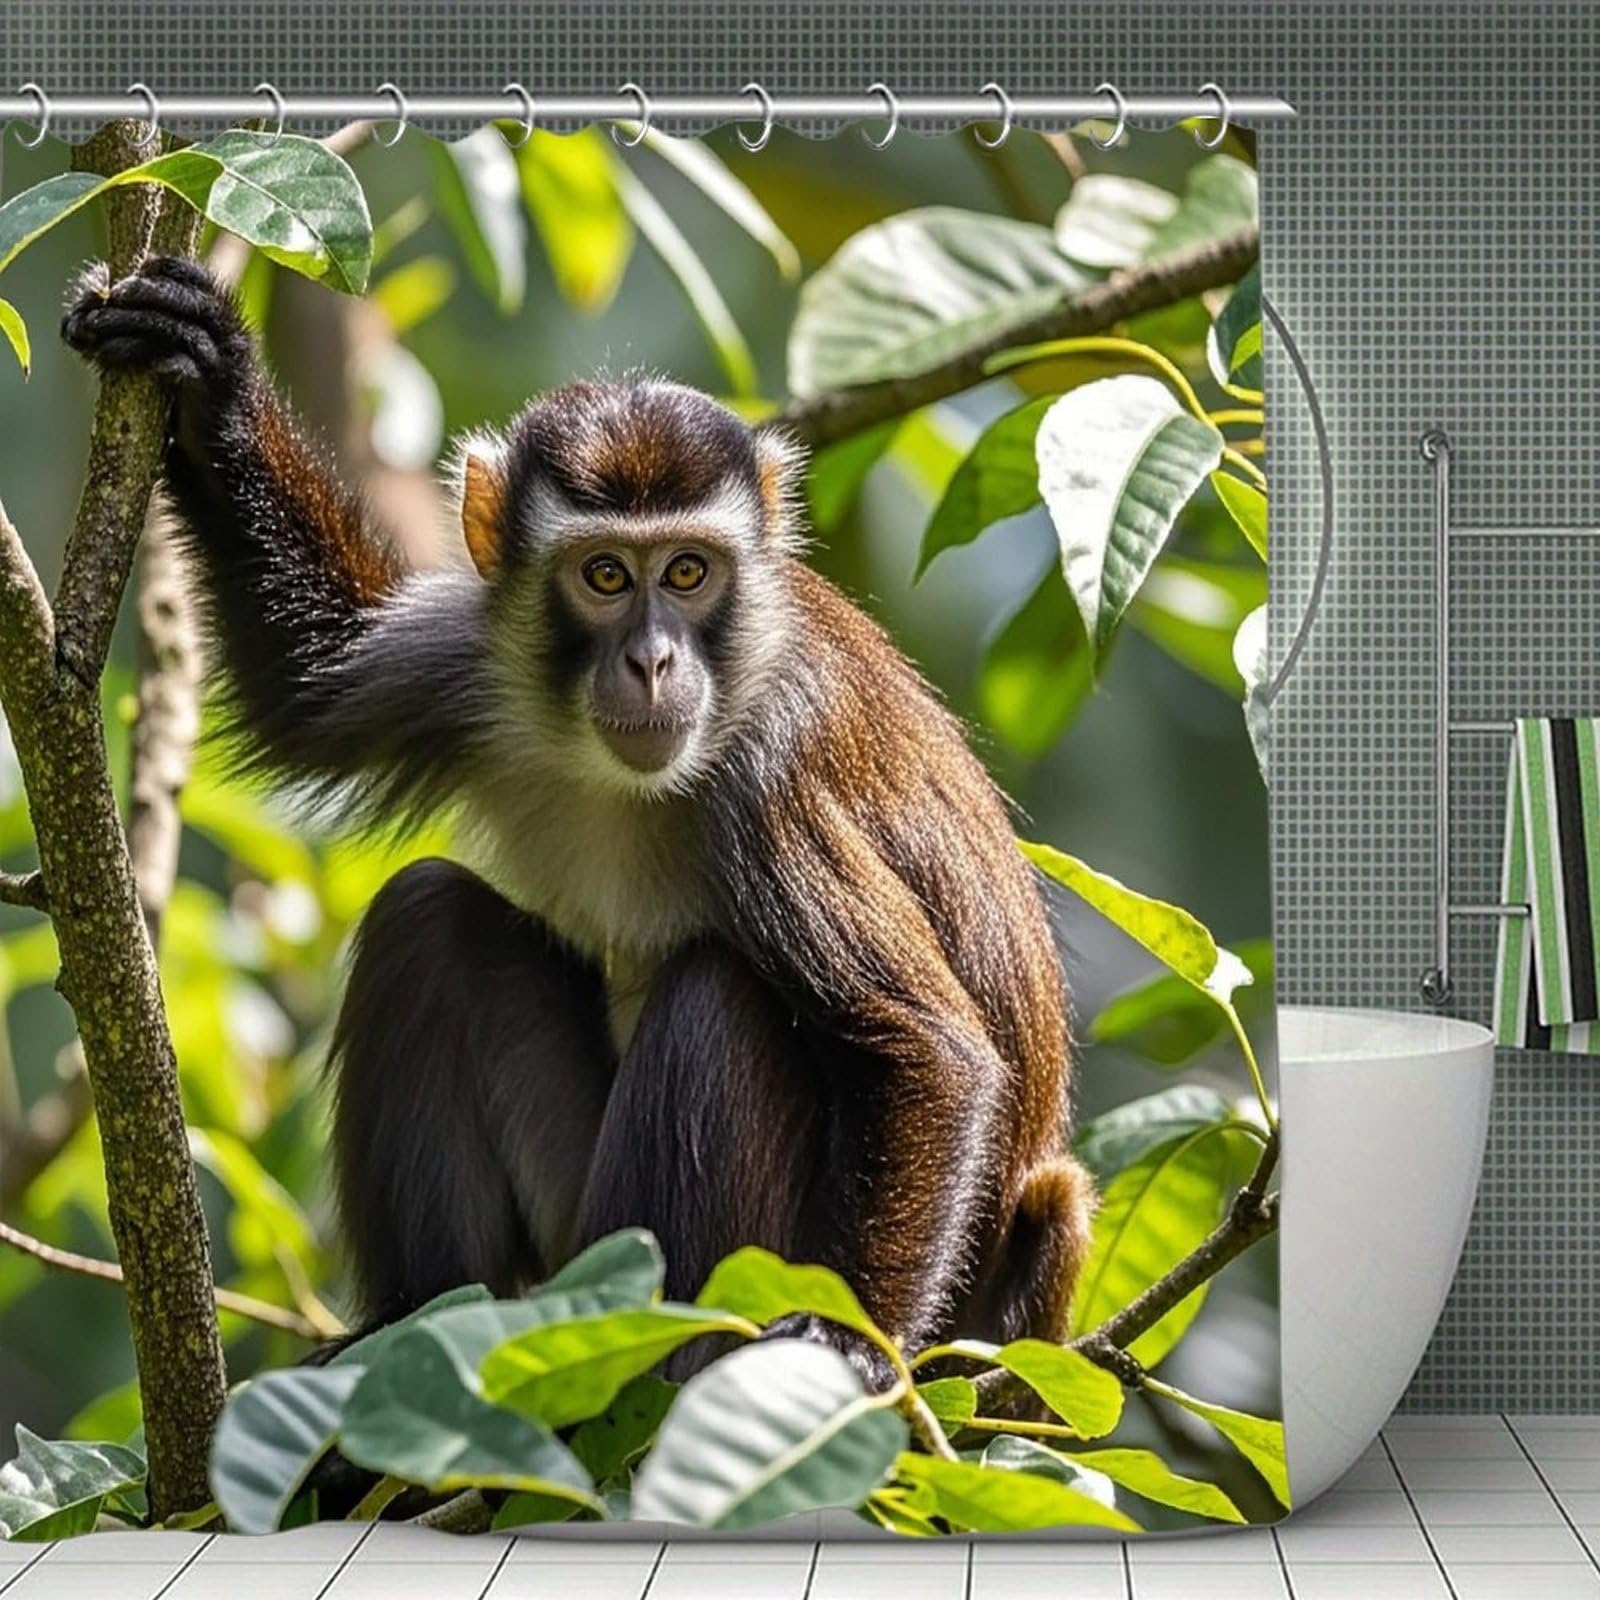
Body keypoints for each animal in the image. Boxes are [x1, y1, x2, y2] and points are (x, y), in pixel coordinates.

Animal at [62, 257, 1095, 1385]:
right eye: (606, 575)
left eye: (686, 571)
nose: (651, 661)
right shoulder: (478, 647)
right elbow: (315, 680)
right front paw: (206, 371)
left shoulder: (771, 774)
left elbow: (928, 1053)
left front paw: (841, 1345)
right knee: (429, 917)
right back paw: (416, 1319)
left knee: (717, 996)